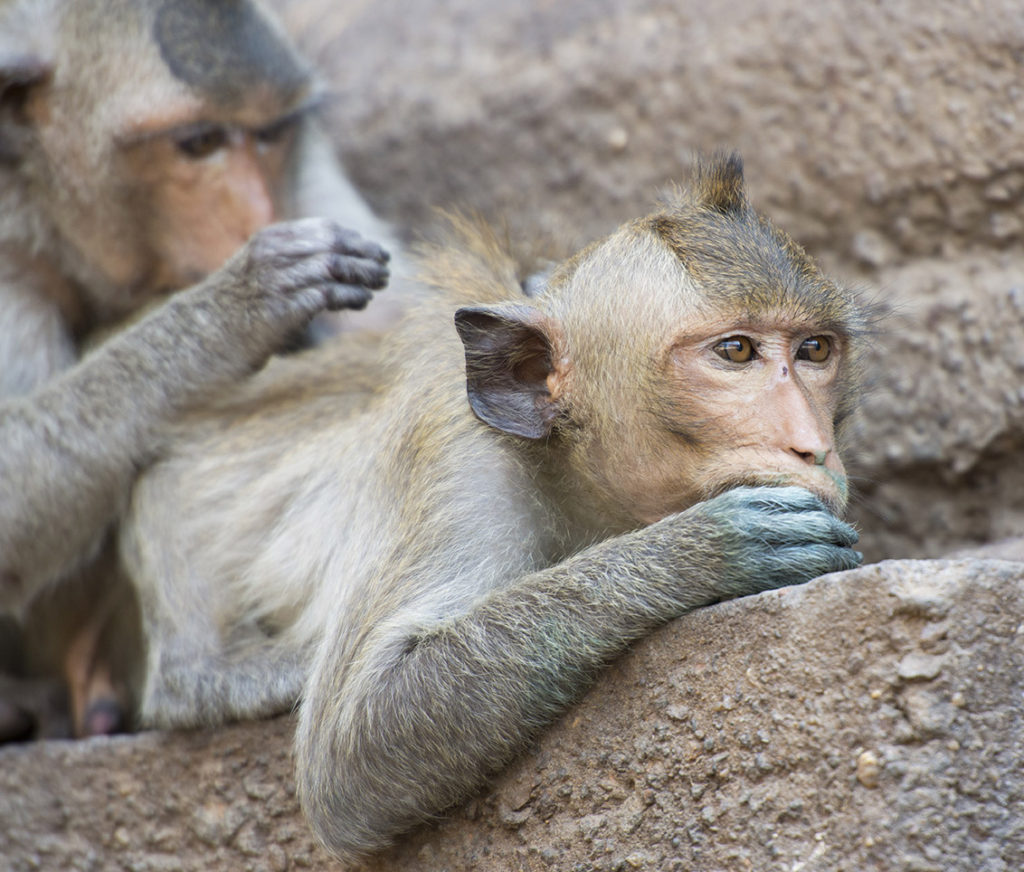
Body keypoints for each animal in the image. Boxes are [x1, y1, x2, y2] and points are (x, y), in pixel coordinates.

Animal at [121, 154, 872, 859]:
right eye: (736, 351)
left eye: (814, 350)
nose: (811, 445)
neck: (569, 469)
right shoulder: (464, 467)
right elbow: (348, 753)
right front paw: (704, 547)